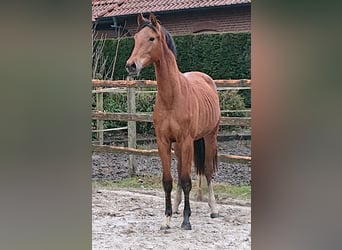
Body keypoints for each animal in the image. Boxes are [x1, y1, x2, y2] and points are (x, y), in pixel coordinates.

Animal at [127, 12, 220, 229]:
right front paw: (167, 218)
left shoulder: (186, 141)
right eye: (135, 38)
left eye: (151, 38)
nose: (131, 66)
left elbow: (186, 180)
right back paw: (177, 207)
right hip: (179, 146)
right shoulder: (163, 142)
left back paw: (213, 209)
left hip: (209, 137)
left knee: (208, 172)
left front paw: (186, 220)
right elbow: (168, 180)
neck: (171, 97)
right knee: (179, 172)